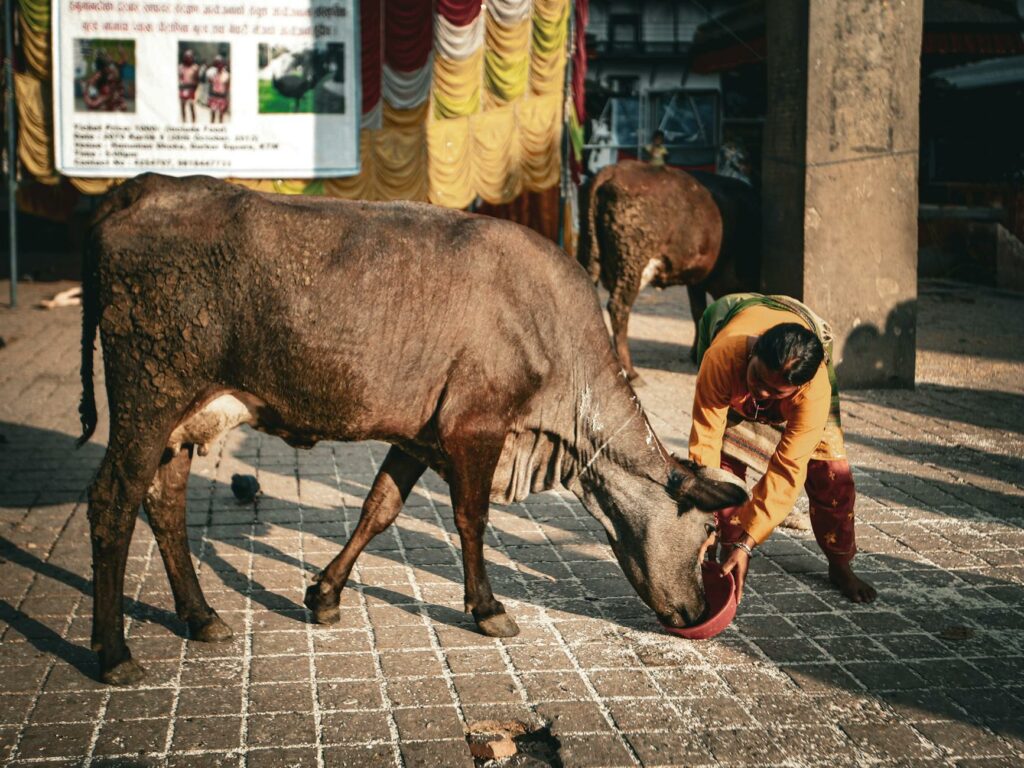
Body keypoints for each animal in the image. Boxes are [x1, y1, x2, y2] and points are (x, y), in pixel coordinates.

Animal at [79, 174, 747, 685]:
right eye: (708, 530)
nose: (696, 610)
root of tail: (144, 185)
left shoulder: (420, 434)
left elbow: (380, 508)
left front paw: (325, 594)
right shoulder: (475, 426)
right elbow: (471, 519)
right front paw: (487, 608)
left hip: (179, 415)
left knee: (164, 505)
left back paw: (200, 616)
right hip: (149, 392)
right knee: (113, 501)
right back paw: (114, 653)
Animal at [580, 160, 760, 380]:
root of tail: (612, 171)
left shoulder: (696, 280)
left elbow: (698, 311)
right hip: (633, 267)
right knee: (619, 308)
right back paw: (630, 371)